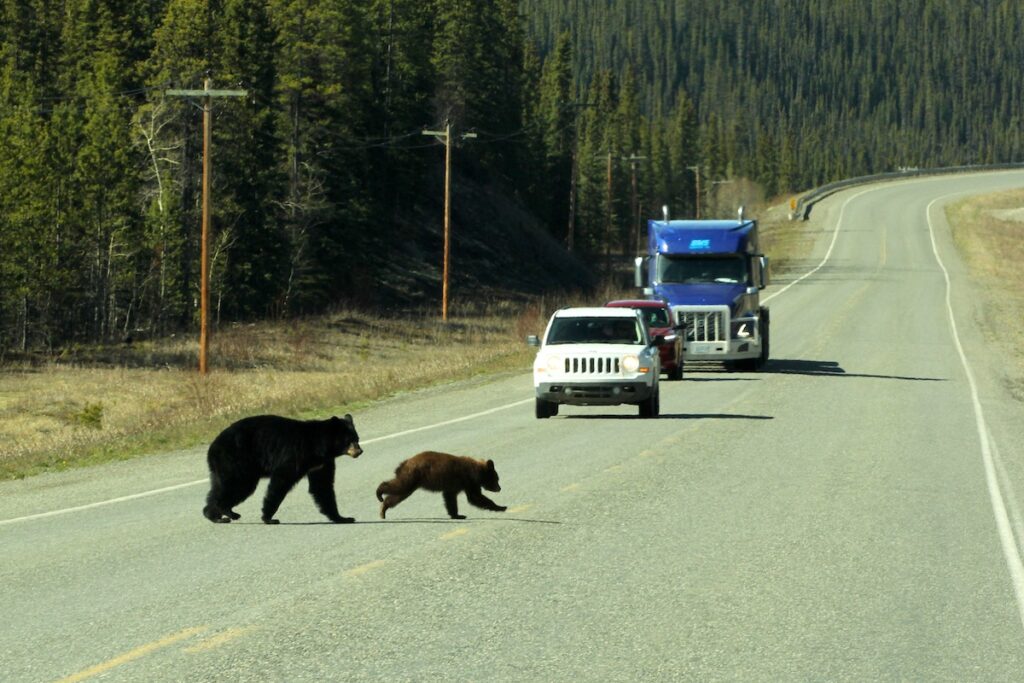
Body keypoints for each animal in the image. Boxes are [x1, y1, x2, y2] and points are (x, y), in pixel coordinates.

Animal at [202, 413, 364, 528]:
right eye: (349, 440)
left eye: (357, 438)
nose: (360, 451)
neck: (319, 447)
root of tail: (212, 448)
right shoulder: (296, 455)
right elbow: (281, 481)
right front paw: (268, 518)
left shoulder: (322, 464)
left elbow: (322, 487)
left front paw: (343, 518)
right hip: (236, 461)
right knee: (239, 486)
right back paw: (228, 512)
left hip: (222, 468)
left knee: (218, 488)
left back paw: (213, 515)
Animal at [374, 450, 505, 520]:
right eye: (496, 479)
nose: (499, 488)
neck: (476, 471)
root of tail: (404, 463)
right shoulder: (468, 481)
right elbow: (475, 497)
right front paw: (501, 507)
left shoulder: (454, 486)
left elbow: (450, 499)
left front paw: (457, 515)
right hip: (411, 476)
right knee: (398, 486)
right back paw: (379, 493)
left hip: (412, 482)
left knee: (398, 495)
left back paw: (383, 509)